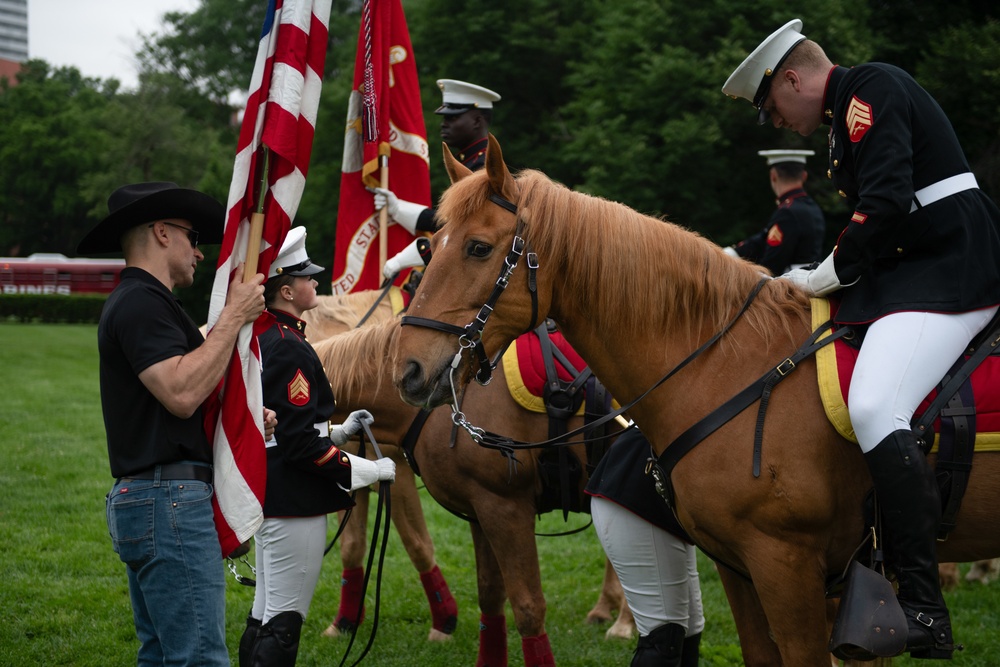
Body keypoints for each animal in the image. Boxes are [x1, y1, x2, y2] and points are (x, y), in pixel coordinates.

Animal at [390, 136, 1000, 667]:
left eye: (478, 247)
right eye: (428, 246)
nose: (408, 369)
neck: (726, 364)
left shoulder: (789, 565)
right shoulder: (745, 567)